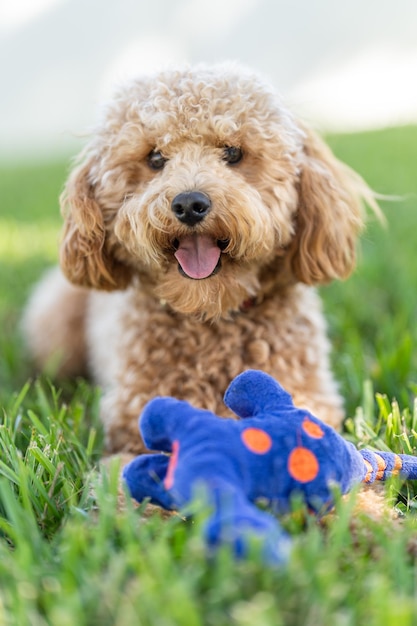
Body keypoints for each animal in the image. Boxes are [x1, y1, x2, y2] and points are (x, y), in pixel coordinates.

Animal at [22, 63, 376, 454]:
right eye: (155, 158)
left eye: (233, 153)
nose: (190, 204)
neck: (210, 315)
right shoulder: (133, 420)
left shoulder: (310, 400)